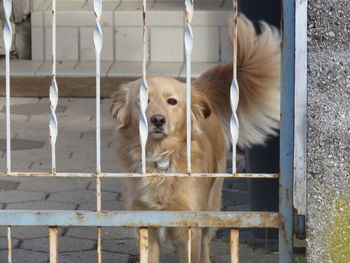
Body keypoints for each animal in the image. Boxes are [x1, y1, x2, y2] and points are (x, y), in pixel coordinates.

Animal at [110, 14, 280, 263]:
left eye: (172, 101)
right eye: (142, 101)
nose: (158, 120)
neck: (160, 159)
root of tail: (198, 89)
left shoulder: (189, 225)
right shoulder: (145, 224)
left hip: (212, 202)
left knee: (207, 242)